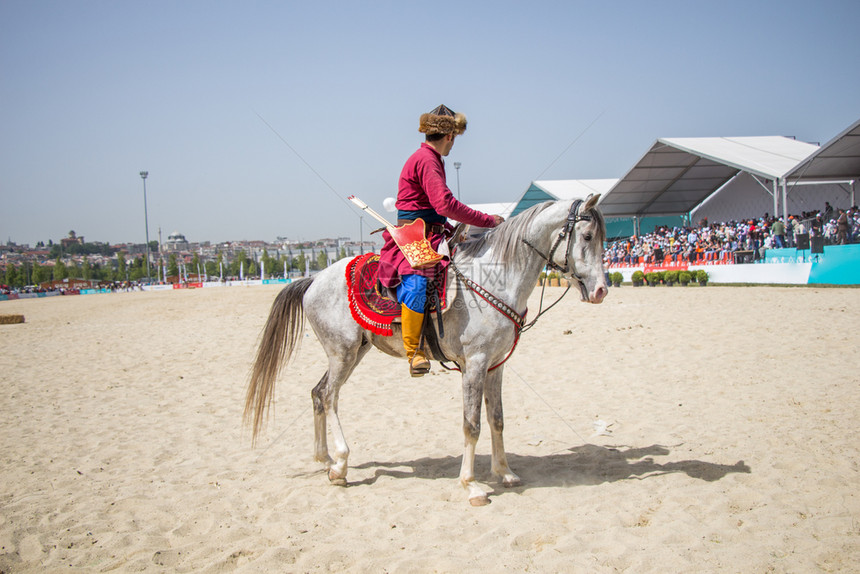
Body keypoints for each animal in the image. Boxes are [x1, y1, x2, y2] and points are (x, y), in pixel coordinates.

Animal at [242, 196, 608, 506]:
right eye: (587, 236)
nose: (601, 290)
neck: (496, 279)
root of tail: (314, 279)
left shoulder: (495, 366)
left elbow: (497, 419)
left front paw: (504, 472)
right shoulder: (474, 365)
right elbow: (472, 425)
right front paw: (471, 485)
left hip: (352, 352)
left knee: (318, 393)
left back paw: (325, 459)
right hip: (341, 352)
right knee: (330, 396)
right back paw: (341, 463)